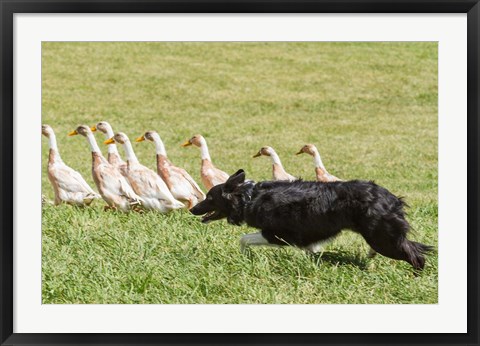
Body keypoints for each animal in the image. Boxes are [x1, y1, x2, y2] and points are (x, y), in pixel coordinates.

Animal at [189, 170, 434, 270]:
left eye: (209, 198)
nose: (192, 209)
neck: (249, 198)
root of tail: (393, 198)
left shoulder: (278, 234)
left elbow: (243, 239)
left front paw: (244, 255)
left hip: (383, 239)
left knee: (417, 256)